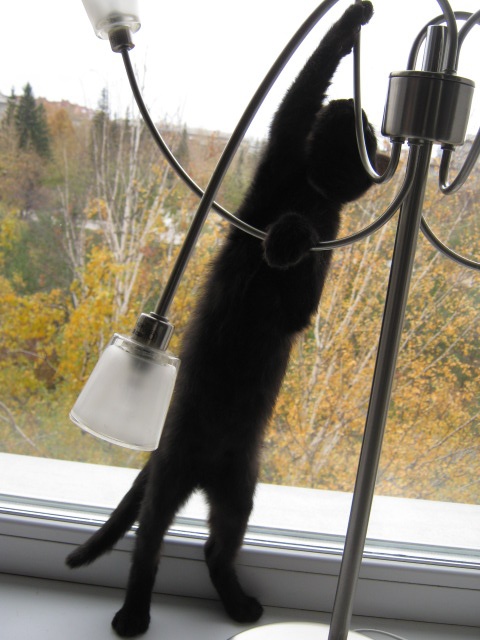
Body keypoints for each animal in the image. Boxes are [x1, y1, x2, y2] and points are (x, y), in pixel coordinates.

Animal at [67, 2, 379, 636]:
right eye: (368, 131)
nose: (373, 131)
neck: (311, 188)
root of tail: (203, 468)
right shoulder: (281, 152)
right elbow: (300, 90)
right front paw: (350, 22)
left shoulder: (311, 278)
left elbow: (299, 273)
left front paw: (287, 239)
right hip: (171, 477)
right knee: (149, 546)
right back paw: (135, 614)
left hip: (239, 492)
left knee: (216, 547)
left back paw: (237, 605)